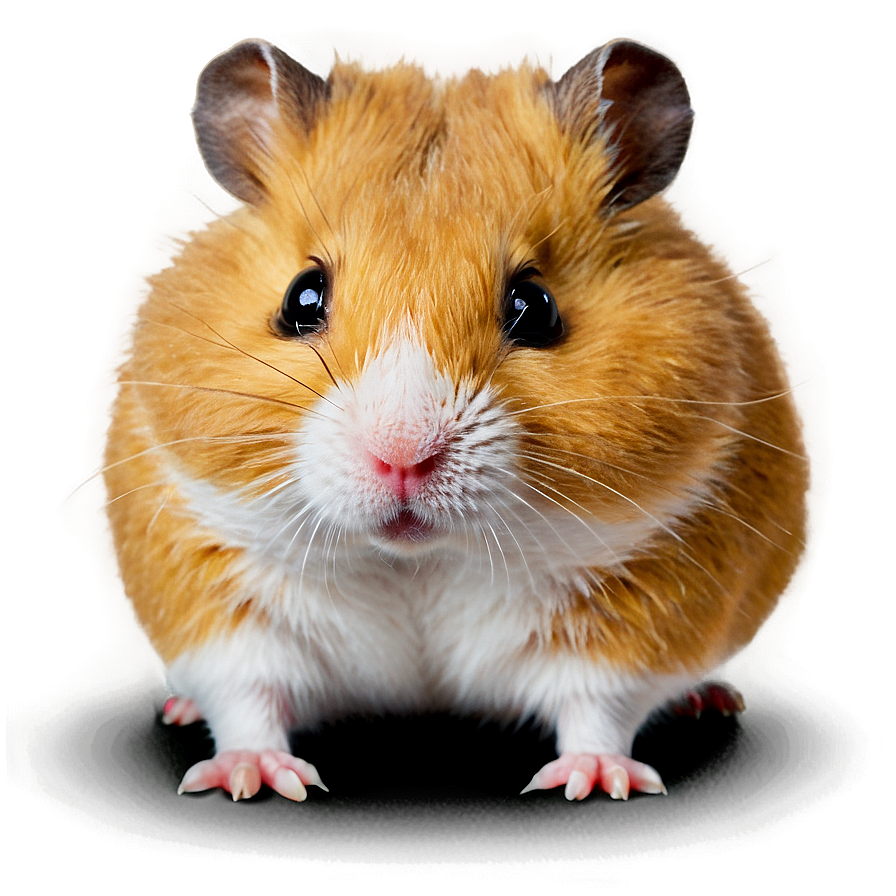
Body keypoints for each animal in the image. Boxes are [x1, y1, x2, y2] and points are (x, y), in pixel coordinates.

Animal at [99, 37, 811, 802]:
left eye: (535, 306)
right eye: (302, 297)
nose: (401, 458)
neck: (420, 561)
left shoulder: (644, 610)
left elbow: (598, 706)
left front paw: (596, 784)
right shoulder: (216, 604)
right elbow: (247, 697)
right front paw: (252, 779)